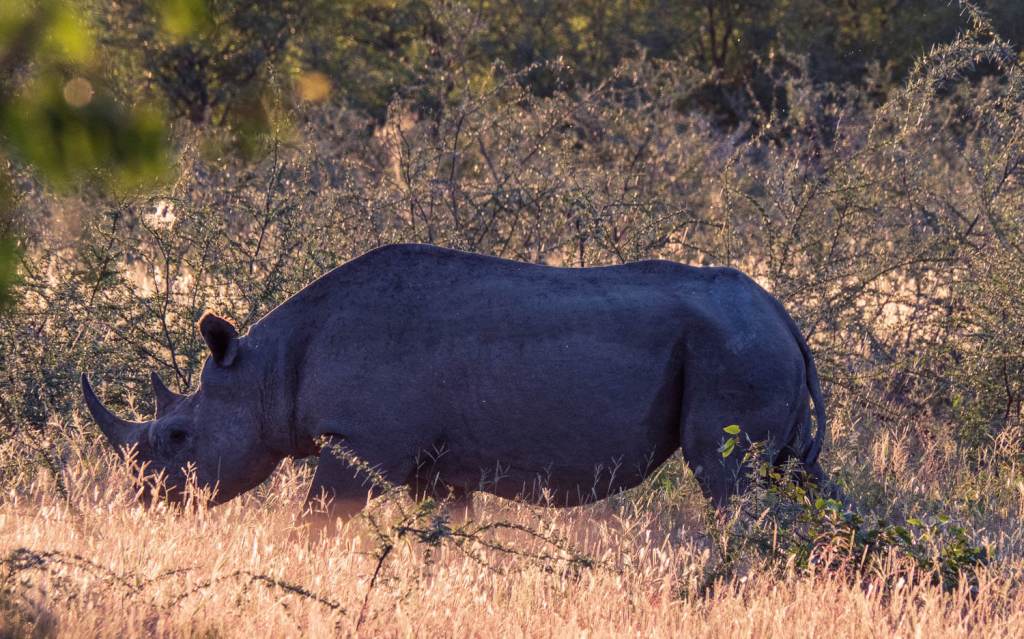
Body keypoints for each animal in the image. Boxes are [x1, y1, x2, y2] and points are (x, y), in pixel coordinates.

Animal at [82, 243, 829, 519]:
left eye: (180, 436)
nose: (142, 498)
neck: (266, 368)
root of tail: (783, 316)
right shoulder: (440, 467)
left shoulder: (363, 443)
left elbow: (319, 521)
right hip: (754, 347)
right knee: (796, 477)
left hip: (736, 350)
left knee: (730, 481)